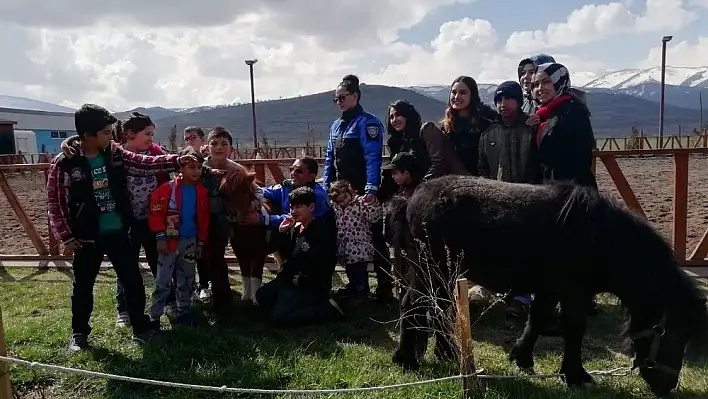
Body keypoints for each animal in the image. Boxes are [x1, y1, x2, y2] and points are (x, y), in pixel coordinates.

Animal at [218, 167, 272, 304]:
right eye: (223, 193)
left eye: (244, 191)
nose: (231, 214)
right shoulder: (241, 254)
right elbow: (245, 275)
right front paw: (246, 297)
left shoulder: (259, 254)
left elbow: (256, 276)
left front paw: (256, 300)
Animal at [388, 176, 708, 396]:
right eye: (670, 333)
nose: (668, 385)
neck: (600, 239)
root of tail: (411, 199)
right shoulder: (575, 293)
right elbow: (574, 330)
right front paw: (576, 375)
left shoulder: (549, 290)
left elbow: (537, 320)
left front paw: (521, 357)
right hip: (429, 271)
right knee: (412, 305)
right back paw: (406, 359)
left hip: (444, 277)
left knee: (437, 310)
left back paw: (447, 354)